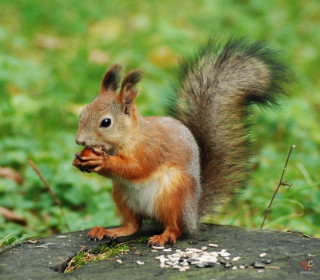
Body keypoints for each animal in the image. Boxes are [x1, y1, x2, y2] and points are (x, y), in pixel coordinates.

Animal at [72, 38, 290, 246]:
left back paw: (164, 236)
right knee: (134, 224)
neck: (129, 136)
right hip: (122, 194)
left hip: (174, 193)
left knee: (175, 227)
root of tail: (193, 215)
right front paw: (79, 162)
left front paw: (101, 160)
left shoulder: (151, 149)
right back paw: (108, 231)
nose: (79, 140)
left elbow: (136, 168)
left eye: (106, 122)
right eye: (82, 113)